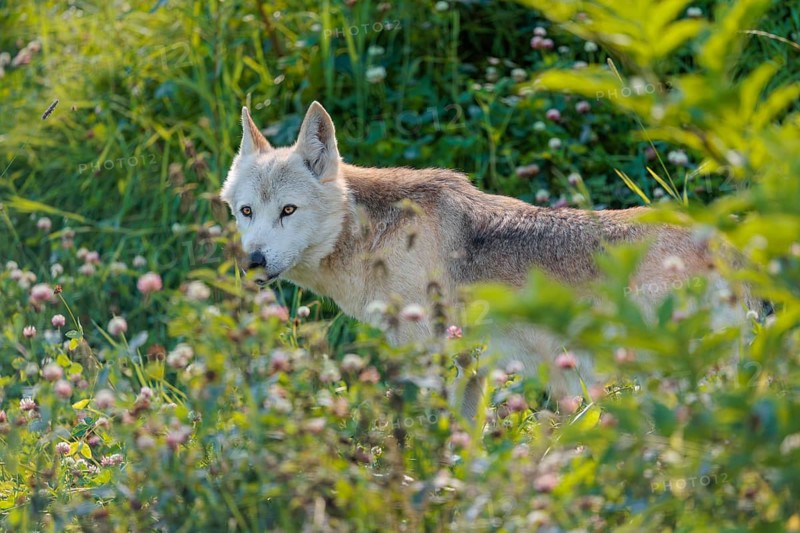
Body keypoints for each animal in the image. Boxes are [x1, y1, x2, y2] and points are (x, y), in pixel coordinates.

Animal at [220, 101, 733, 418]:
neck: (375, 239)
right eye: (246, 212)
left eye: (288, 210)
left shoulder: (437, 365)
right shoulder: (472, 372)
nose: (253, 261)